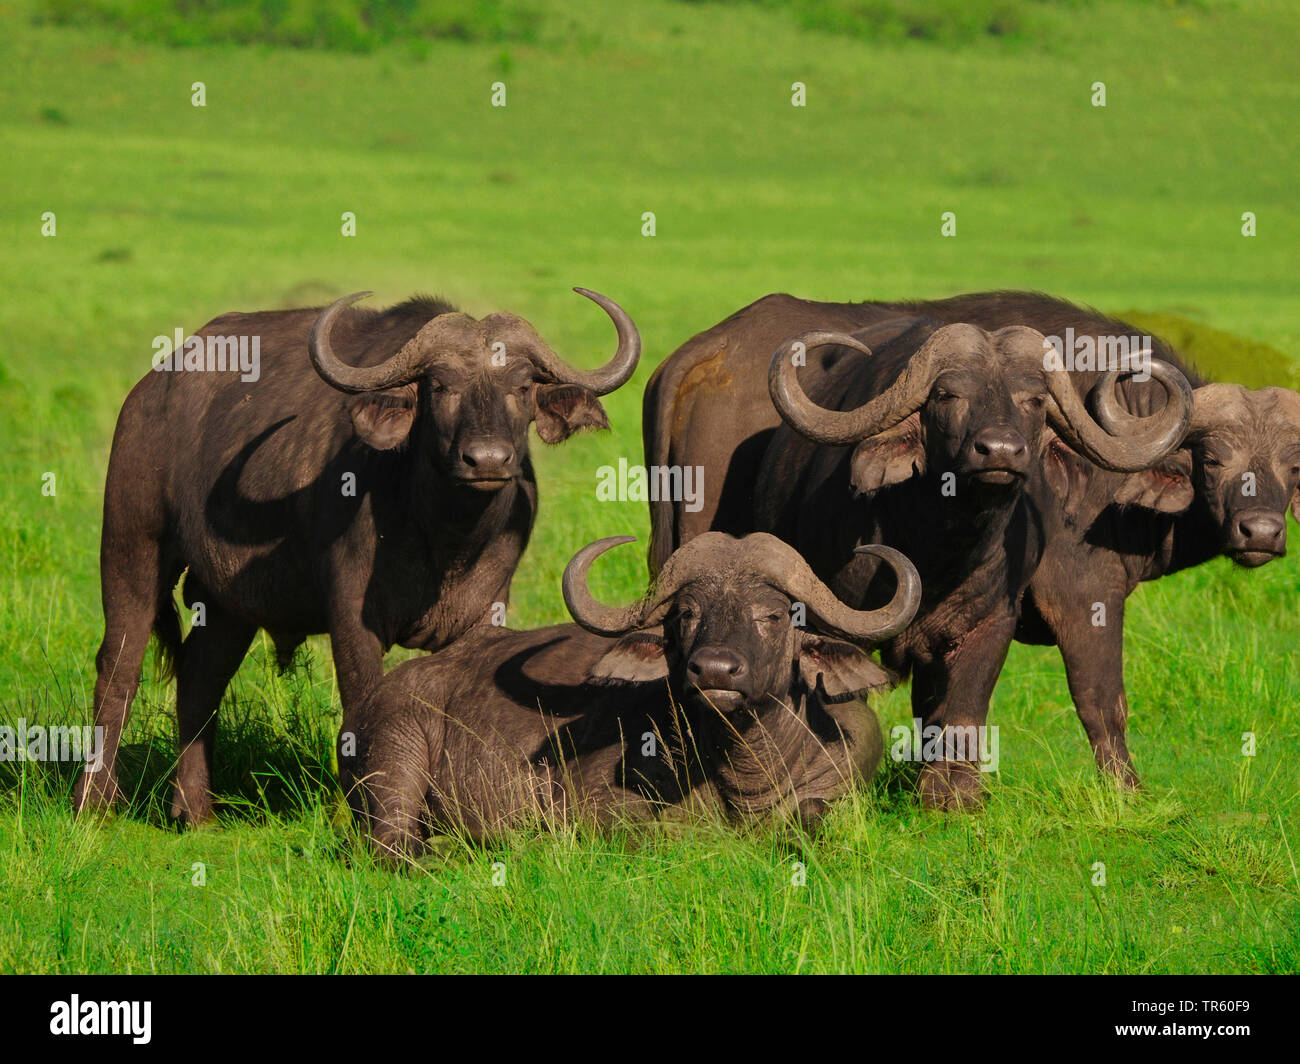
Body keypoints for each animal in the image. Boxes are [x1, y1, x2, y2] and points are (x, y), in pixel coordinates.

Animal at [74, 286, 639, 816]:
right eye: (440, 386)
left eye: (522, 387)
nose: (487, 460)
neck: (444, 537)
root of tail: (147, 392)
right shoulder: (351, 617)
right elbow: (362, 707)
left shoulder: (485, 613)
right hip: (131, 548)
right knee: (118, 669)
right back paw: (95, 802)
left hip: (227, 599)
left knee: (199, 682)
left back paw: (194, 811)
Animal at [343, 530, 915, 853]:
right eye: (685, 615)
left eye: (773, 615)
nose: (714, 670)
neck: (742, 771)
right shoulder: (593, 804)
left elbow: (810, 814)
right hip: (396, 750)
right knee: (389, 842)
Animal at [754, 318, 1190, 801]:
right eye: (948, 395)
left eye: (1035, 400)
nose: (999, 450)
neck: (936, 552)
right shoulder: (833, 624)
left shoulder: (990, 622)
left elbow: (964, 705)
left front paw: (954, 795)